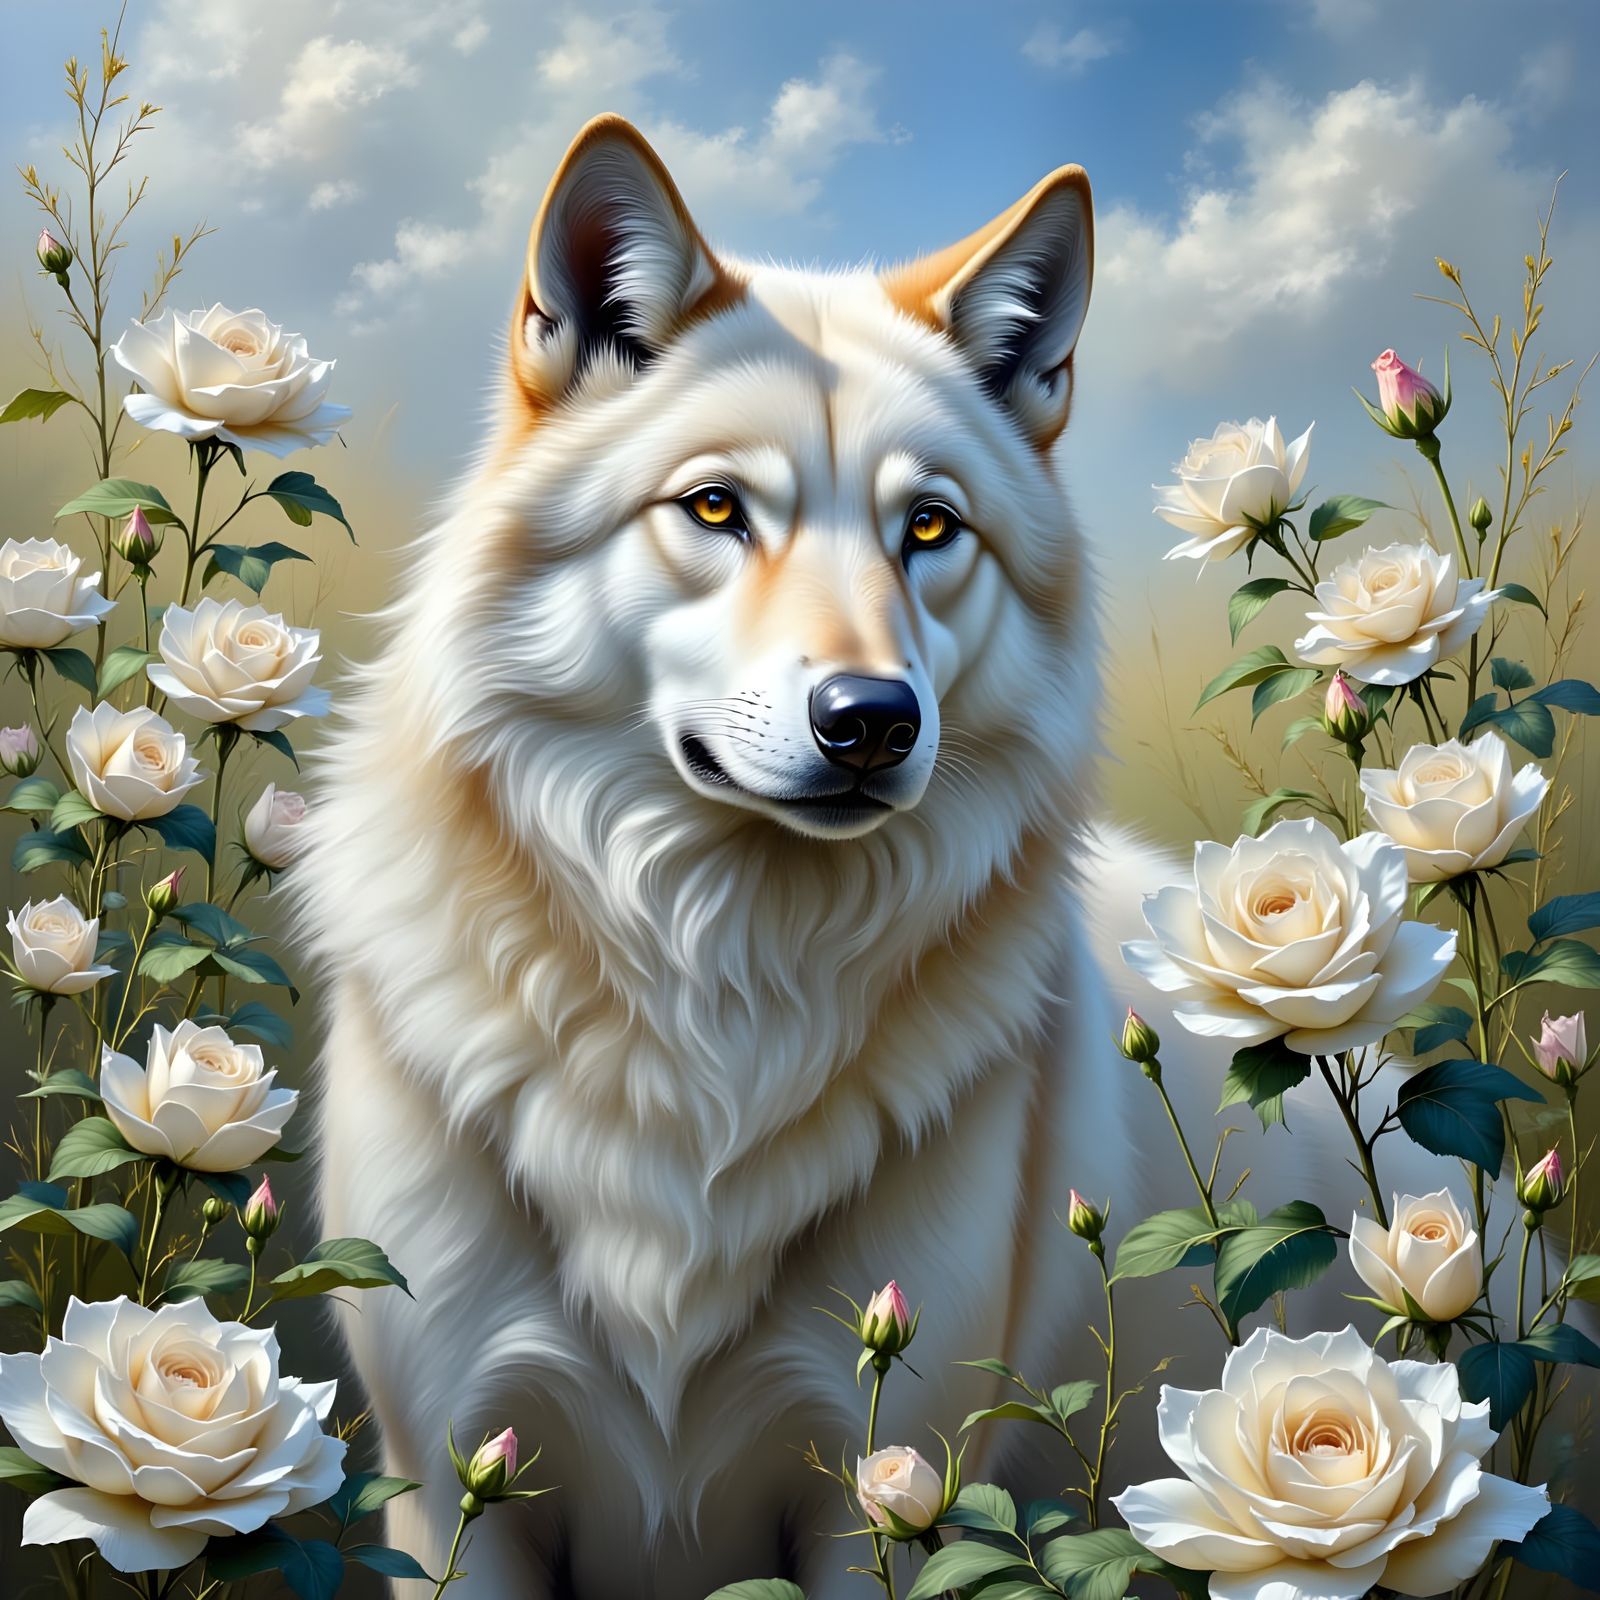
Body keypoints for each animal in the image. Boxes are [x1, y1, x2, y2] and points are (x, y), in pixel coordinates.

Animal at [297, 117, 1482, 1596]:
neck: (721, 993)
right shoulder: (454, 1486)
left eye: (929, 528)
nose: (870, 720)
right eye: (715, 509)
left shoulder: (897, 1496)